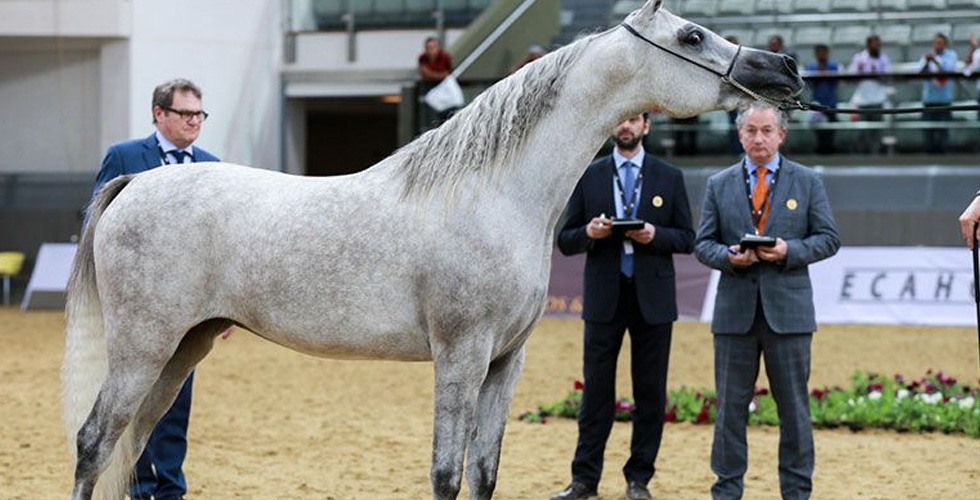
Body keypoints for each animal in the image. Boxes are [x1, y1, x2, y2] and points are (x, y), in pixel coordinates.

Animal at [61, 1, 800, 498]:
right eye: (691, 35)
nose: (785, 67)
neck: (493, 191)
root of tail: (136, 183)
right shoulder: (460, 355)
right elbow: (446, 473)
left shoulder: (504, 361)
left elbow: (484, 473)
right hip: (145, 344)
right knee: (96, 441)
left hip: (182, 347)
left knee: (134, 444)